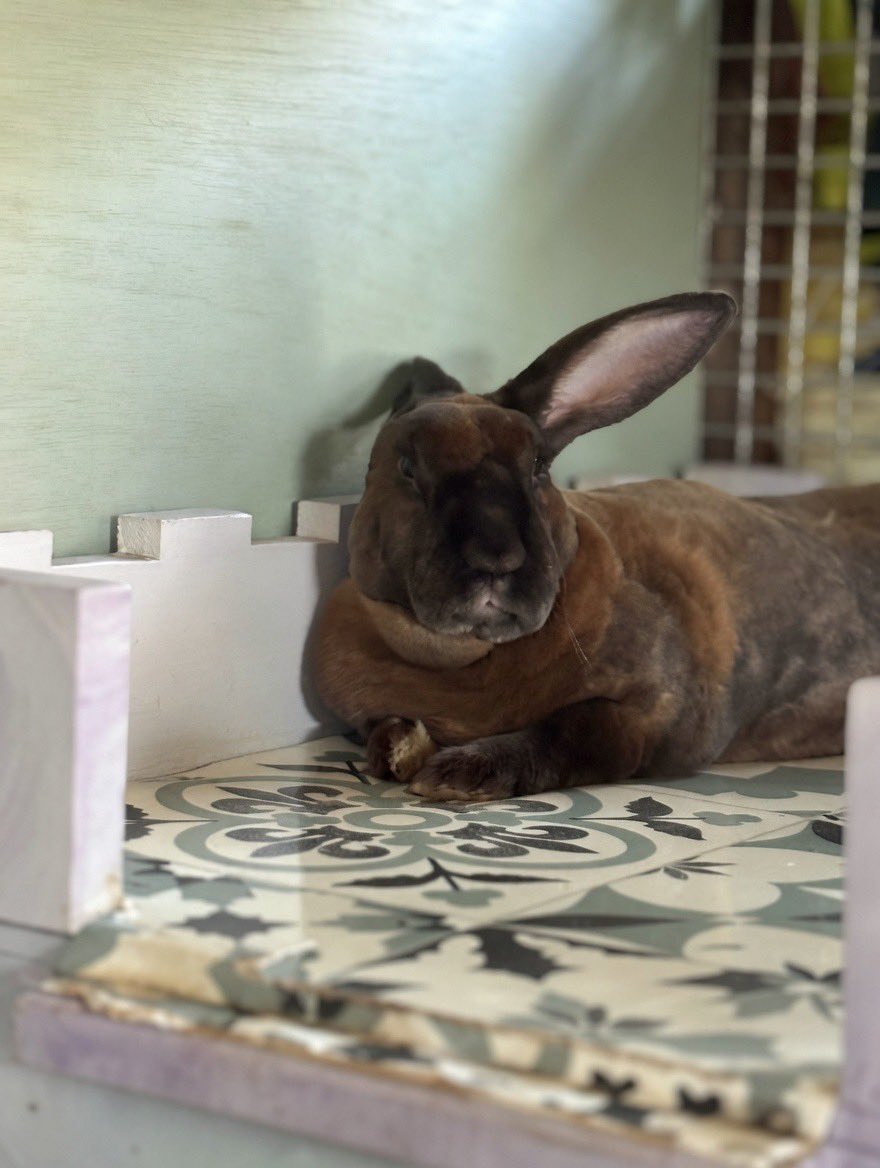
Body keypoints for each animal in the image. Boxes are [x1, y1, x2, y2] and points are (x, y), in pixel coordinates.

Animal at [315, 291, 880, 802]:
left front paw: (460, 773)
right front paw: (400, 750)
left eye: (538, 468)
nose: (498, 558)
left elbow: (569, 732)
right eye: (408, 468)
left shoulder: (648, 716)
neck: (461, 658)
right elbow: (381, 728)